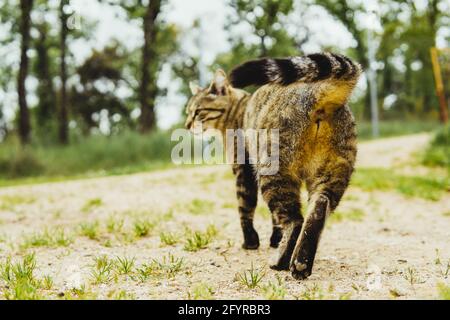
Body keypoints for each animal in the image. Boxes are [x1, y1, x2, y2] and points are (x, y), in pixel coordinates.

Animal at [184, 52, 362, 280]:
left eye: (197, 112)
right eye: (188, 112)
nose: (187, 125)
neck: (237, 109)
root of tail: (315, 92)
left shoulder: (243, 171)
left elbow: (245, 209)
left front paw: (251, 242)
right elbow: (274, 220)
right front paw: (275, 239)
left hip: (272, 172)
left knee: (295, 220)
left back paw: (282, 262)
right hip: (331, 175)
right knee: (317, 210)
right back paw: (300, 263)